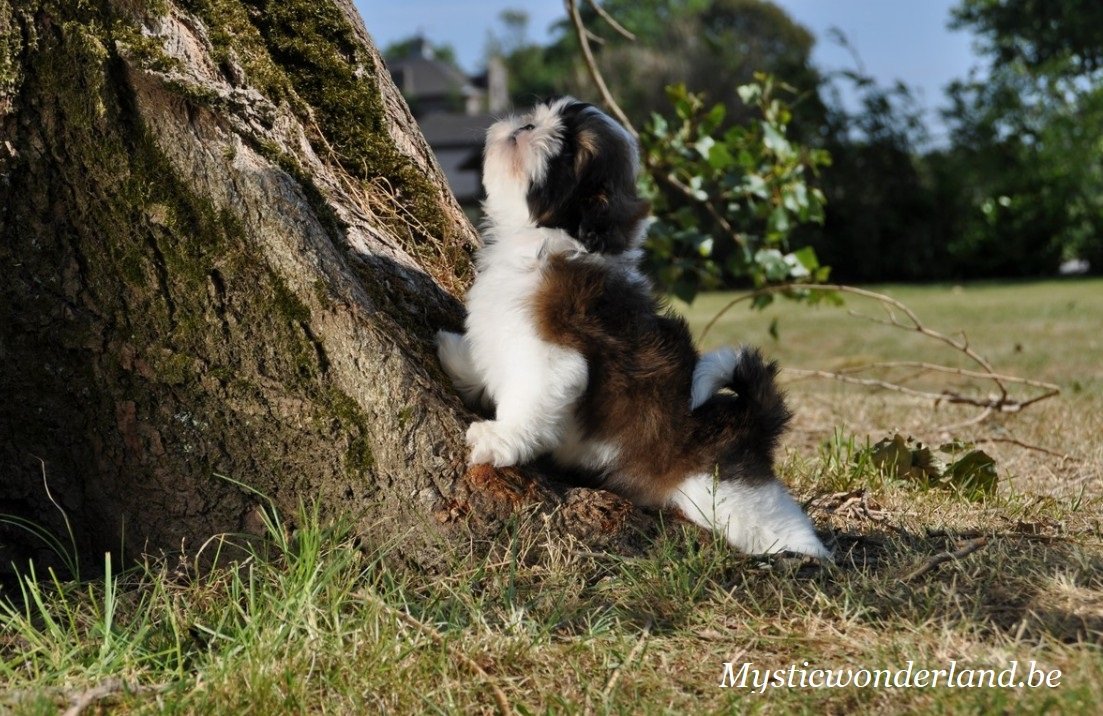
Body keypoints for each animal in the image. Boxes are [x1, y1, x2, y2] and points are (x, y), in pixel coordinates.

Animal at [434, 97, 829, 560]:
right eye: (550, 114)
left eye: (567, 150)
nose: (528, 124)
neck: (544, 241)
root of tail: (750, 422)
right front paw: (455, 355)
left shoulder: (554, 352)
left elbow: (530, 401)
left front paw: (499, 439)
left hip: (724, 494)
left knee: (772, 521)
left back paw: (805, 554)